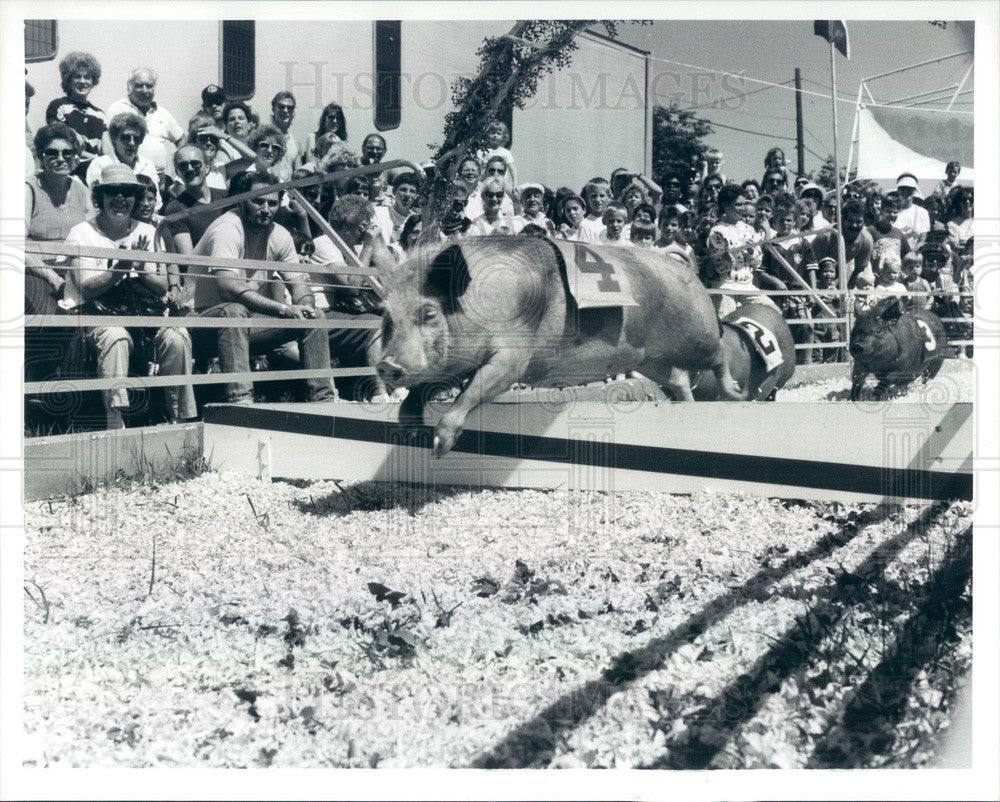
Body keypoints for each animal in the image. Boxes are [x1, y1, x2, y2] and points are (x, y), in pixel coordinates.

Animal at [376, 234, 744, 454]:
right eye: (387, 316)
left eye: (428, 313)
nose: (385, 364)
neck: (484, 302)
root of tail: (684, 267)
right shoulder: (457, 363)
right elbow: (423, 389)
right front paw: (410, 432)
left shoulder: (514, 356)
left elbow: (475, 388)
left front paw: (440, 446)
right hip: (649, 360)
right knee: (679, 378)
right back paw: (688, 407)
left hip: (697, 335)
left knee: (719, 352)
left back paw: (736, 394)